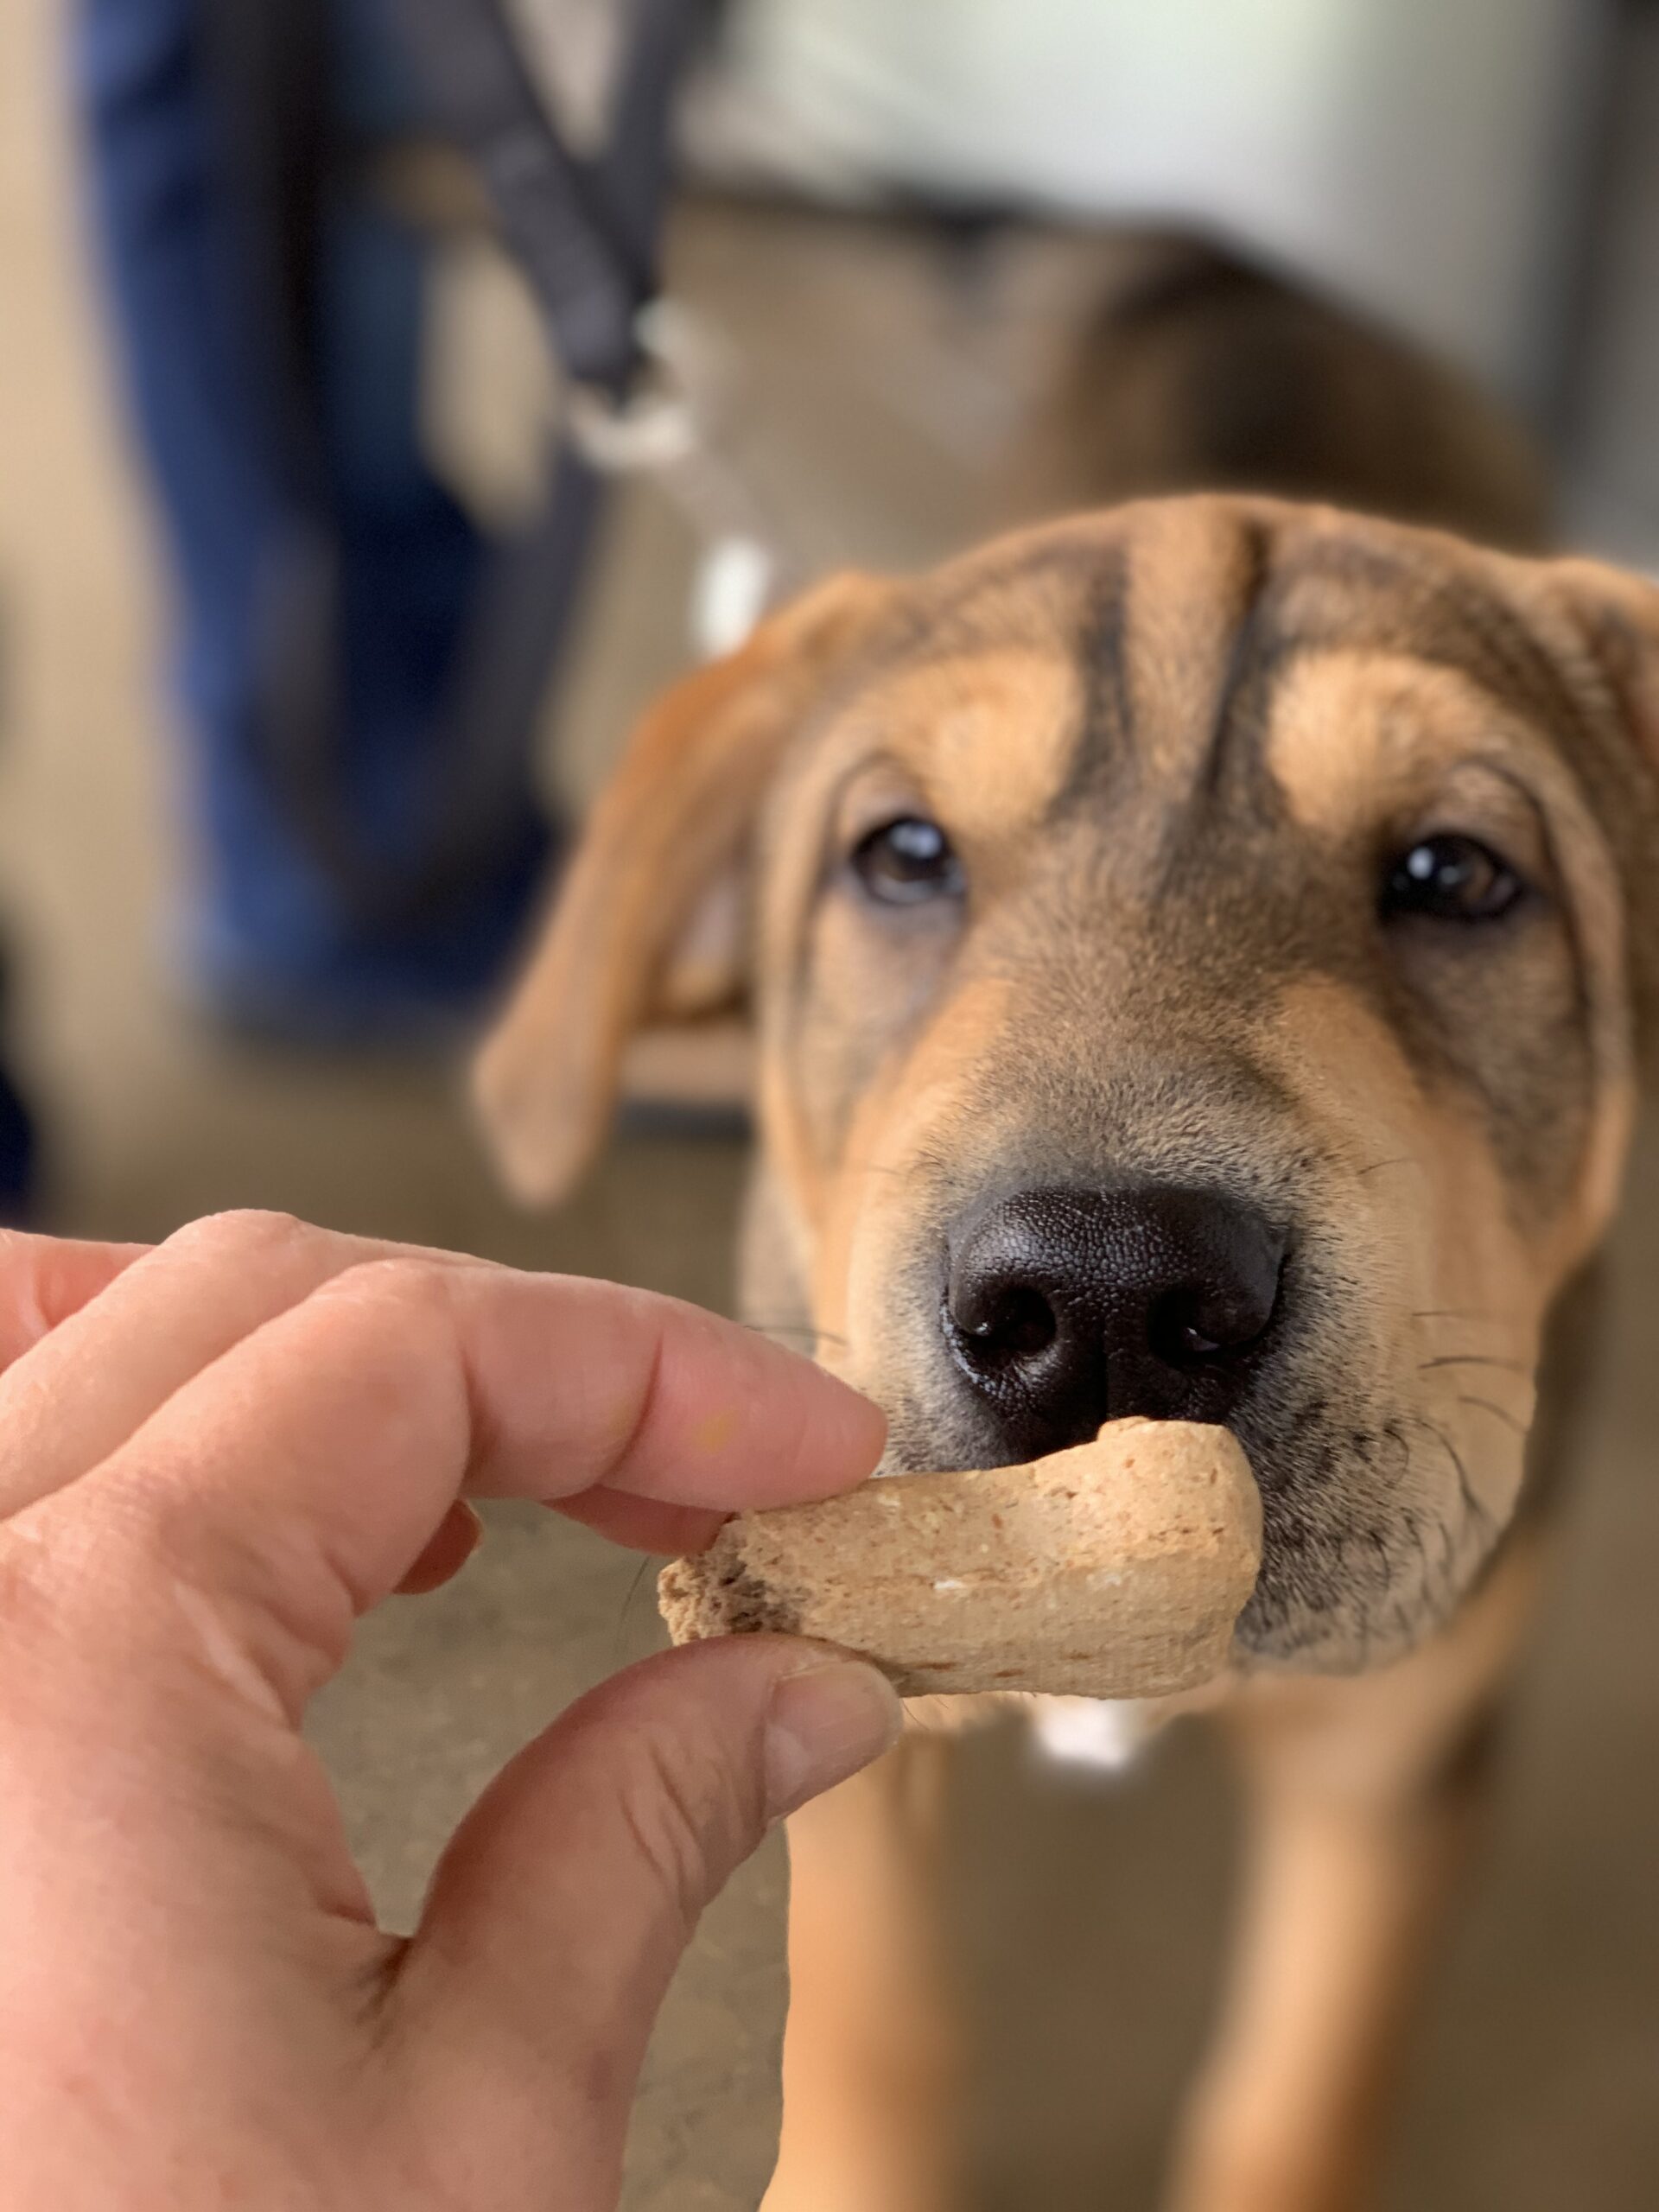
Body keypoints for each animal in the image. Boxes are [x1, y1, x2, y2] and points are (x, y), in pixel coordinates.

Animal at [471, 242, 1659, 2212]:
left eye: (1457, 874)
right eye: (900, 854)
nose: (1106, 1293)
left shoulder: (1401, 1753)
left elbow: (1297, 2090)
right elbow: (877, 2017)